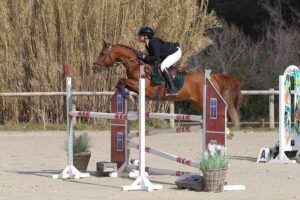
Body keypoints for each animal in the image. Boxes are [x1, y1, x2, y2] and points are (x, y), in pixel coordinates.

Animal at [92, 41, 243, 127]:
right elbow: (121, 82)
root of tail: (212, 77)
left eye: (103, 53)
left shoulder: (144, 87)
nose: (94, 67)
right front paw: (126, 95)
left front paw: (126, 95)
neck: (136, 65)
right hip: (197, 103)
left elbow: (121, 80)